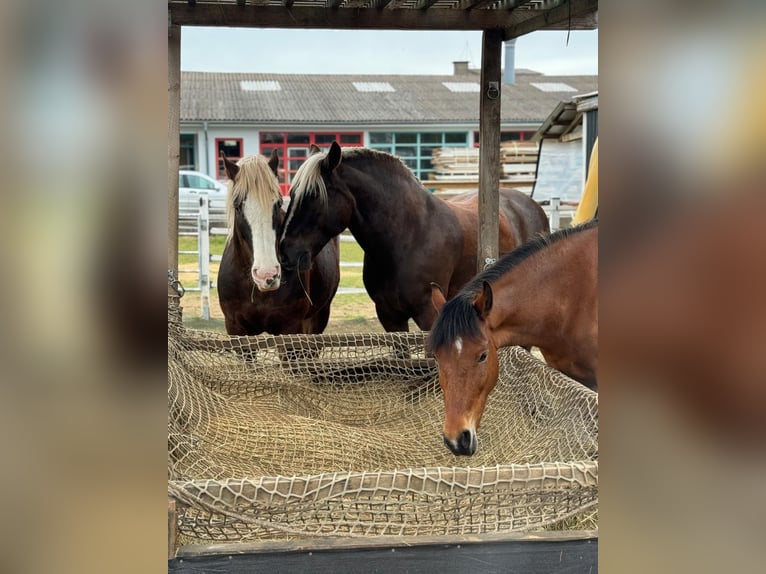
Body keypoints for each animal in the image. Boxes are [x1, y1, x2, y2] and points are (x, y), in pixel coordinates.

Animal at [282, 142, 552, 332]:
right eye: (292, 193)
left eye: (313, 195)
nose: (285, 252)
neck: (407, 237)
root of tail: (531, 205)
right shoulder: (390, 317)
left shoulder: (429, 315)